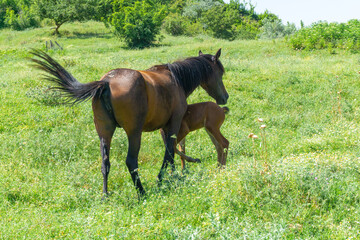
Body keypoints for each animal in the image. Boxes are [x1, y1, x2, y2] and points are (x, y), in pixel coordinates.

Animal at [31, 48, 228, 197]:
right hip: (134, 132)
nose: (225, 97)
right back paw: (142, 193)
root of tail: (106, 82)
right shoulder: (173, 124)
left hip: (104, 132)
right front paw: (163, 180)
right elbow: (169, 153)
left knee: (105, 163)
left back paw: (105, 196)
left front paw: (174, 175)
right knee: (131, 161)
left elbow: (173, 152)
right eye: (220, 72)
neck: (175, 78)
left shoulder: (166, 128)